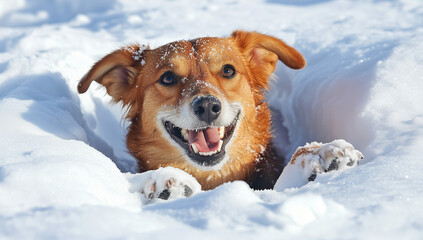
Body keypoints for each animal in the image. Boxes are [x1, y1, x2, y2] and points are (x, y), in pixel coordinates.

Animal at [78, 31, 362, 200]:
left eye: (228, 70)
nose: (206, 106)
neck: (215, 179)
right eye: (168, 78)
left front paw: (320, 153)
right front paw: (165, 180)